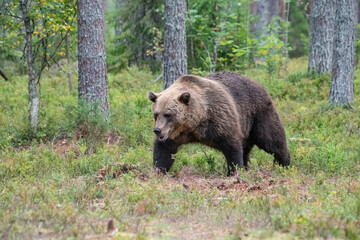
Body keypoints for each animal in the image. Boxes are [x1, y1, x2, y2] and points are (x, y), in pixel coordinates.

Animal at [147, 71, 290, 174]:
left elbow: (232, 146)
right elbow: (164, 150)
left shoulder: (219, 119)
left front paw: (234, 171)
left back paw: (283, 164)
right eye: (156, 114)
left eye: (168, 115)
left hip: (258, 113)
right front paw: (158, 170)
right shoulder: (175, 134)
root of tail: (258, 84)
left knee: (271, 138)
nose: (157, 130)